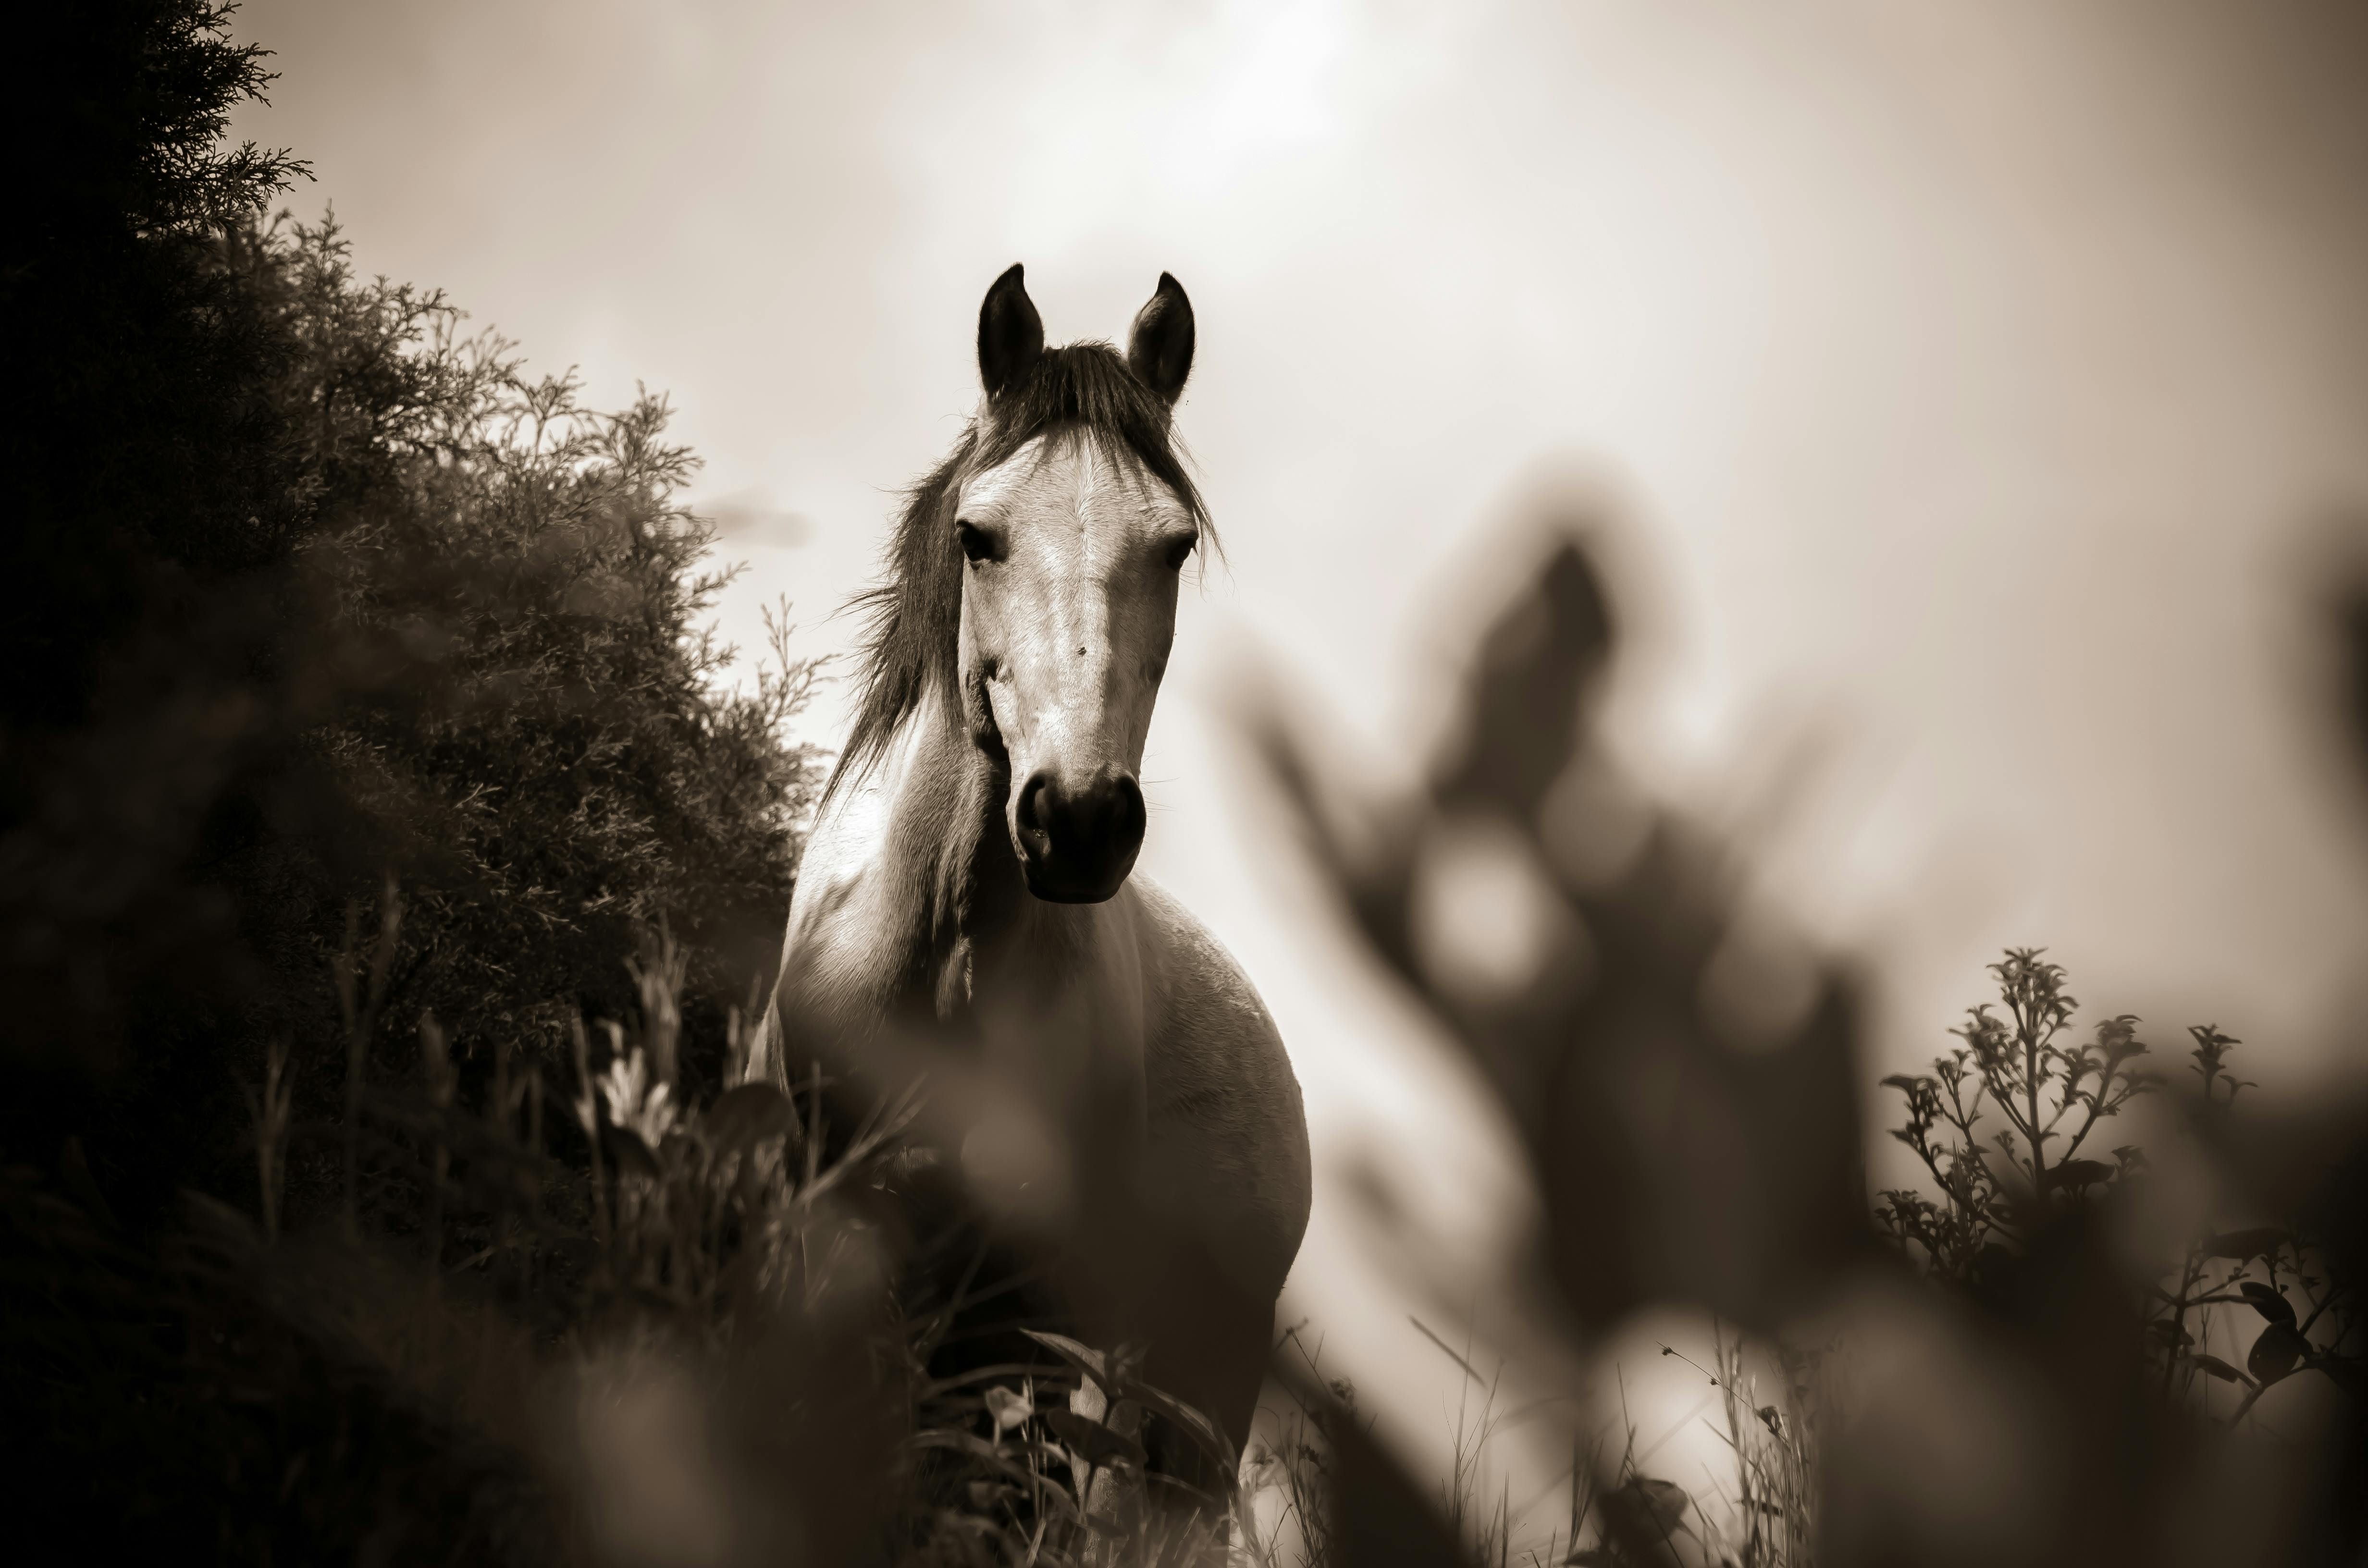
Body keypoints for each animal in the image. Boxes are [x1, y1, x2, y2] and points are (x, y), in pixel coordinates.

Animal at [753, 264, 1316, 1506]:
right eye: (979, 536)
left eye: (1173, 547)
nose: (1079, 820)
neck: (942, 963)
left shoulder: (1030, 1319)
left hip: (1186, 1394)